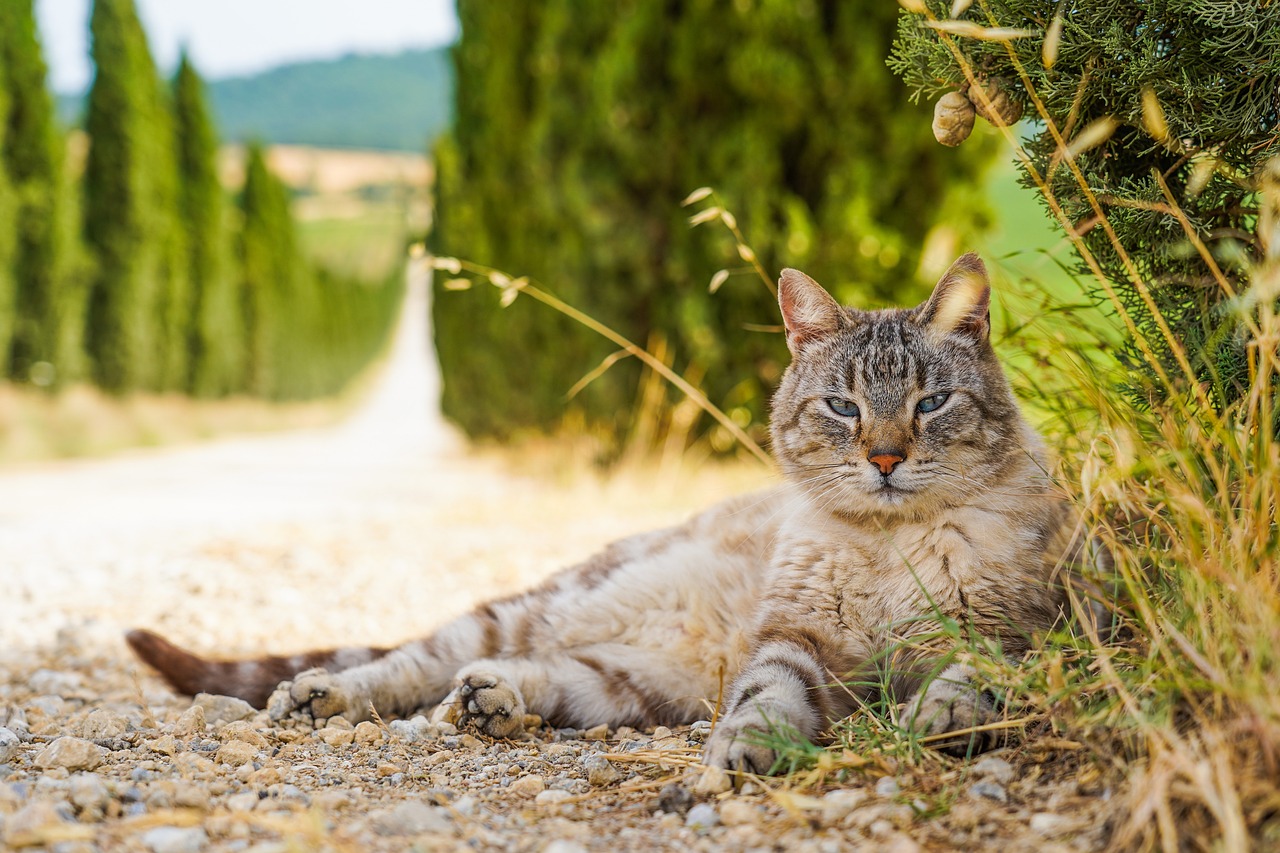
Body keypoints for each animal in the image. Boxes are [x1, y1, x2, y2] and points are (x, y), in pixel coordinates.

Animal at [124, 253, 1095, 768]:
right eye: (843, 408)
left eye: (930, 403)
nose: (885, 457)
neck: (891, 547)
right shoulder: (795, 643)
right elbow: (766, 702)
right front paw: (744, 755)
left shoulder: (1023, 633)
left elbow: (972, 678)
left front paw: (940, 717)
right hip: (534, 608)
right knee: (412, 663)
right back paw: (326, 696)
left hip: (636, 685)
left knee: (541, 677)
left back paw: (492, 704)